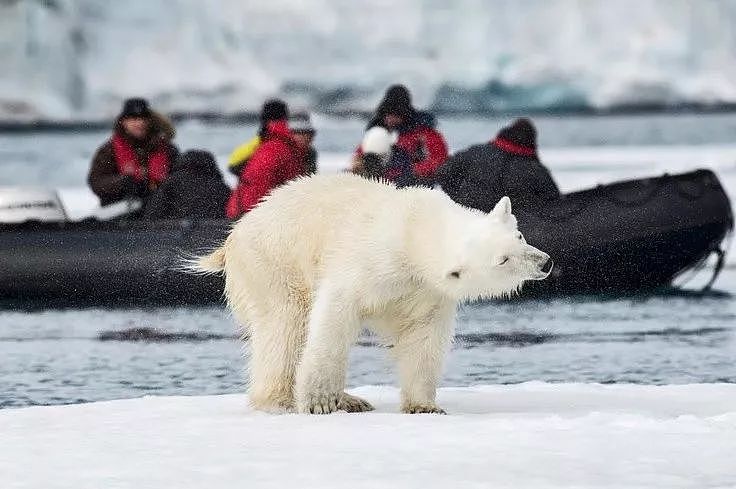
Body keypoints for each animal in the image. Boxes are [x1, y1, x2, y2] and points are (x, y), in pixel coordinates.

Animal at [193, 173, 548, 414]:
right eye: (502, 259)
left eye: (518, 236)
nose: (545, 262)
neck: (413, 231)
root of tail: (233, 235)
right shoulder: (368, 263)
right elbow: (333, 319)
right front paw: (319, 401)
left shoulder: (425, 290)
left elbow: (424, 338)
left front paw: (424, 406)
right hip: (274, 263)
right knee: (285, 326)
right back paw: (283, 399)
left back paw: (352, 400)